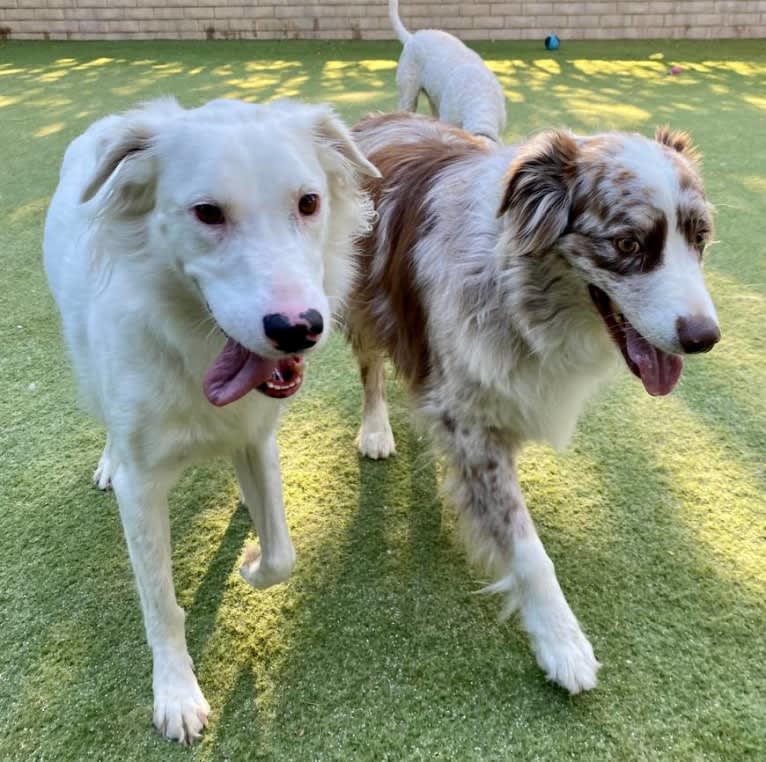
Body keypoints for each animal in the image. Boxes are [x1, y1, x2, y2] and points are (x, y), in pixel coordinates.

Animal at [43, 96, 380, 744]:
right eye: (207, 213)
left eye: (309, 203)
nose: (298, 328)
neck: (194, 349)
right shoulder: (143, 486)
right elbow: (160, 603)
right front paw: (176, 693)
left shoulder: (256, 436)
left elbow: (282, 555)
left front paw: (251, 563)